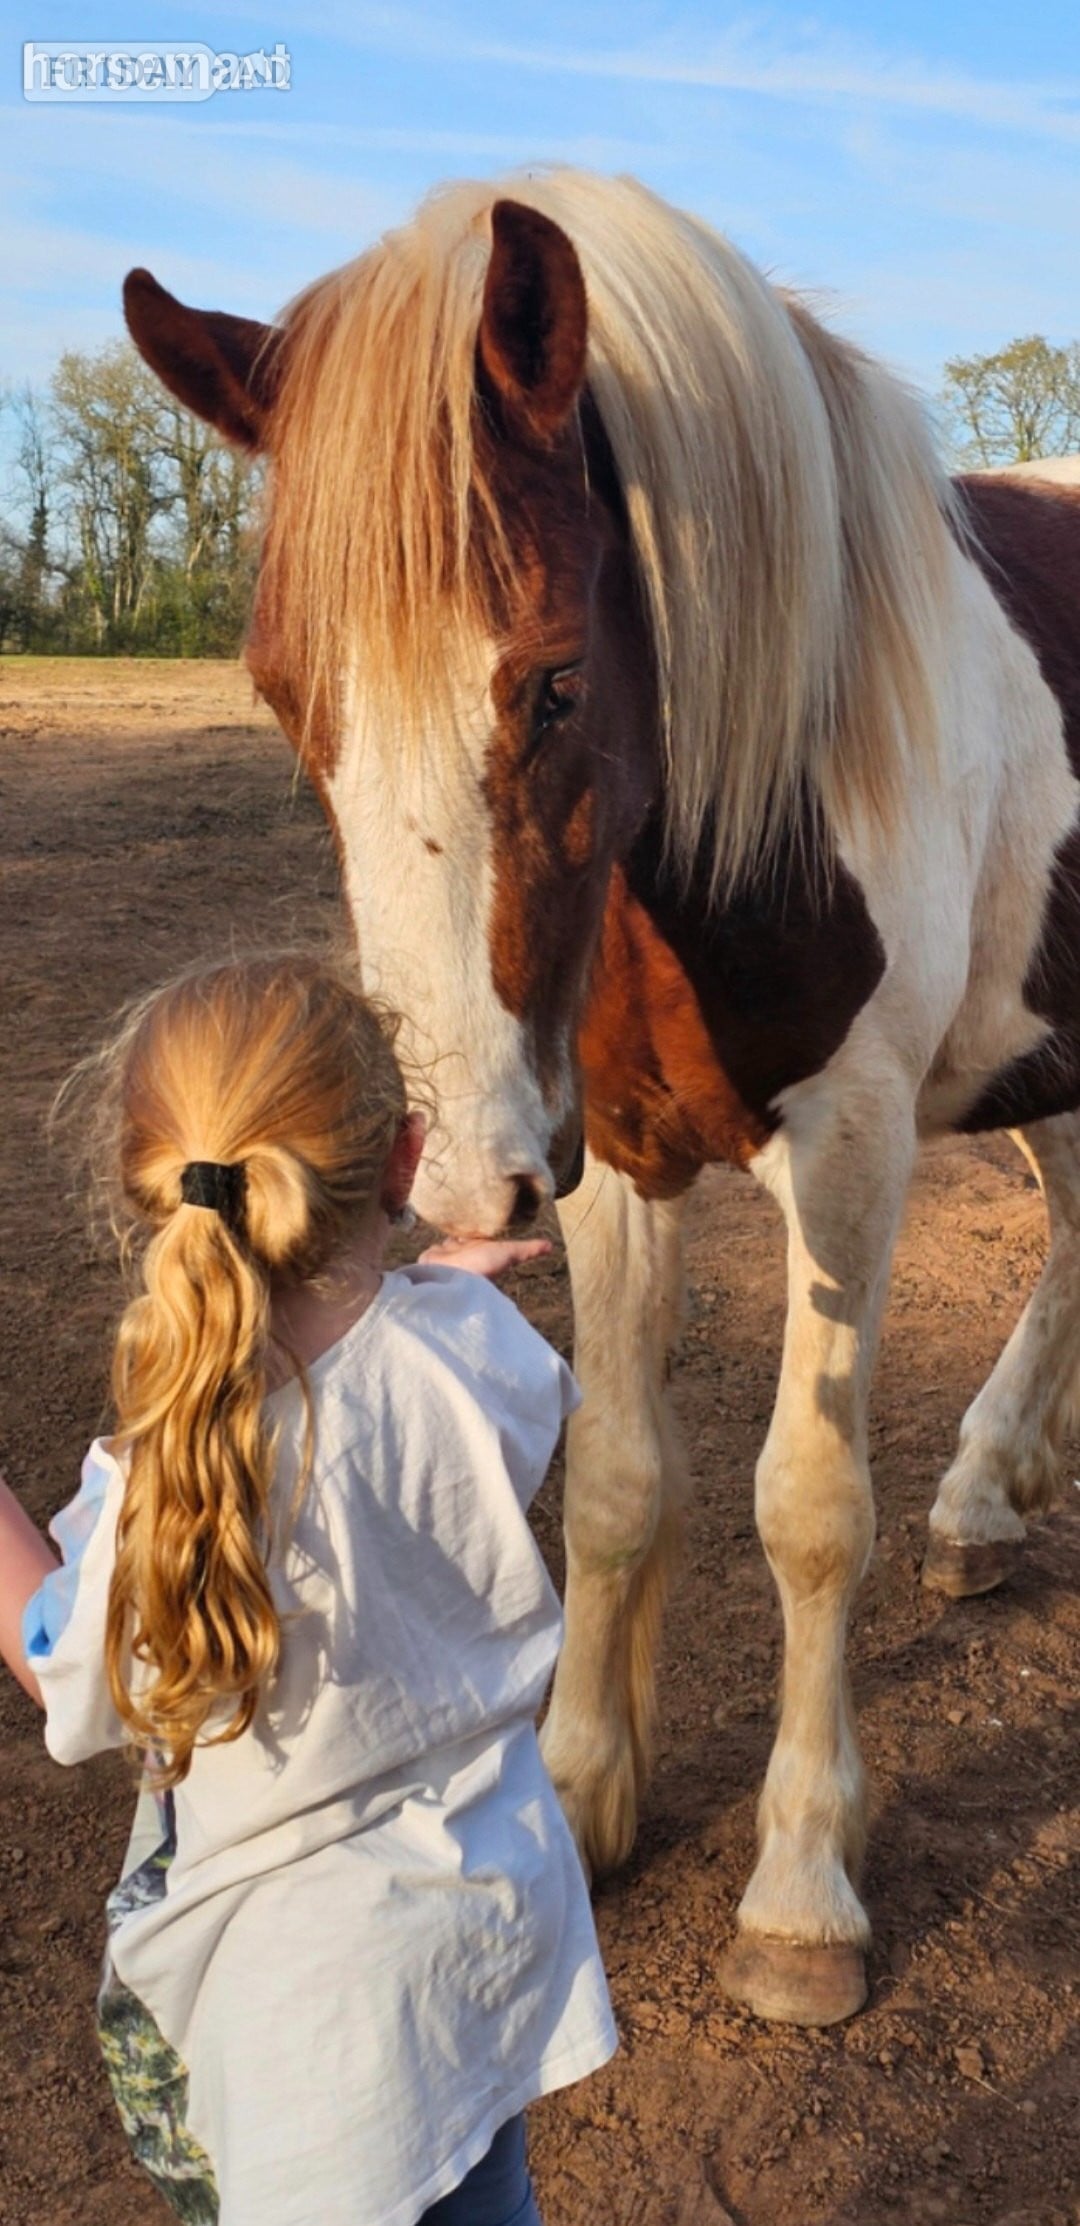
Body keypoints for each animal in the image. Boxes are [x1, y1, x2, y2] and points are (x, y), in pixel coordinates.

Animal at [123, 171, 1080, 2028]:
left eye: (557, 679)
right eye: (283, 690)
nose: (439, 1180)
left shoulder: (850, 1154)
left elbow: (807, 1507)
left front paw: (803, 1888)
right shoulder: (608, 1155)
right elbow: (626, 1478)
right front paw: (581, 1789)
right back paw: (988, 1492)